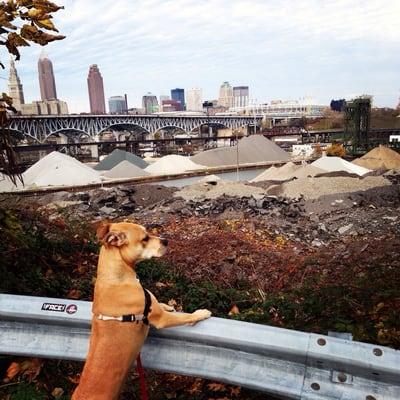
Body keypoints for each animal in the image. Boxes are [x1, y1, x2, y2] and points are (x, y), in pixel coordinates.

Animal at [72, 222, 211, 400]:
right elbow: (184, 317)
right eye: (145, 238)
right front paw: (201, 313)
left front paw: (166, 305)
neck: (115, 276)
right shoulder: (162, 319)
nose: (166, 241)